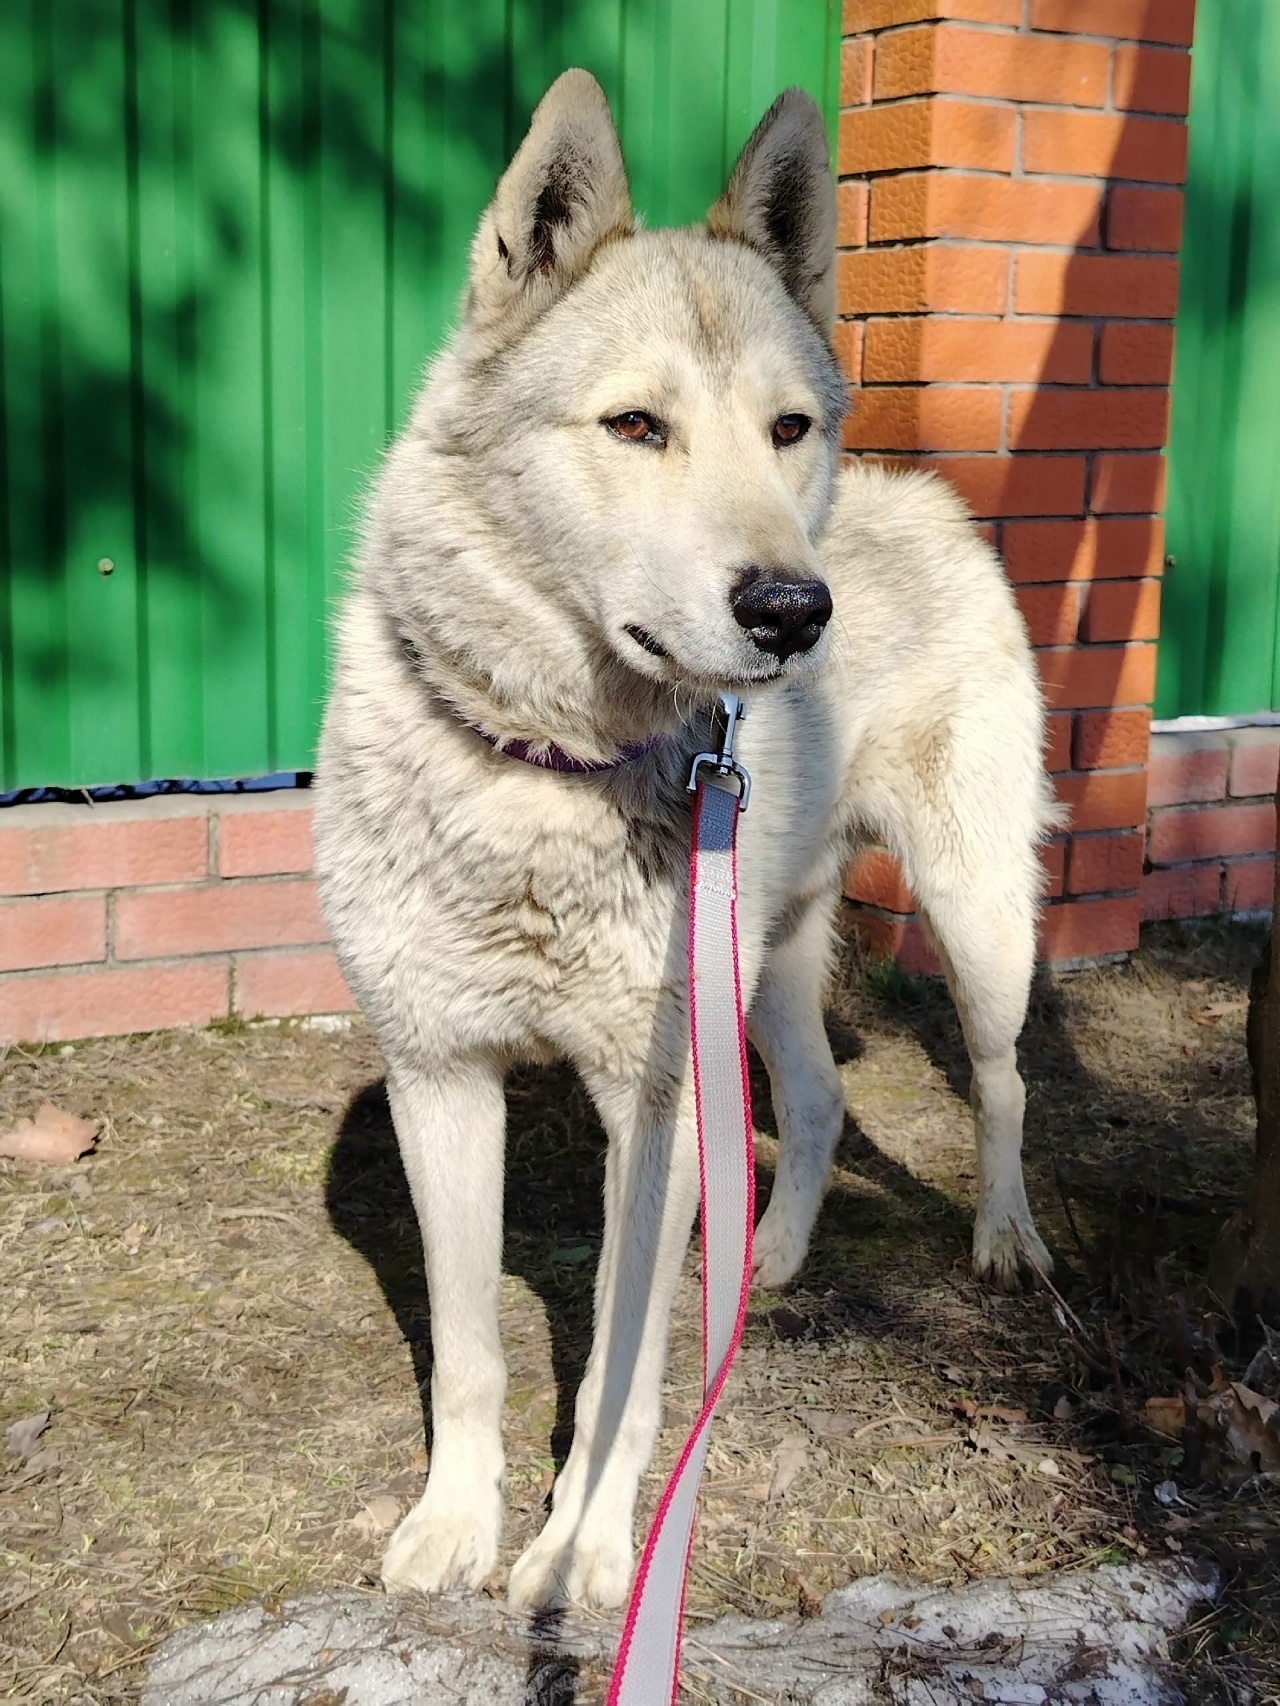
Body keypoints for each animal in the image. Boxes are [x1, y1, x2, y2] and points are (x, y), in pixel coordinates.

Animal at [313, 69, 1056, 1613]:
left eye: (786, 429)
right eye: (635, 427)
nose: (793, 609)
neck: (543, 770)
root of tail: (928, 497)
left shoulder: (647, 1109)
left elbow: (613, 1369)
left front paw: (586, 1547)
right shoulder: (439, 1077)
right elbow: (469, 1351)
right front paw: (452, 1525)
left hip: (976, 918)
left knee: (1003, 1079)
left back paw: (1003, 1238)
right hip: (758, 967)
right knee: (819, 1102)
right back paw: (761, 1261)